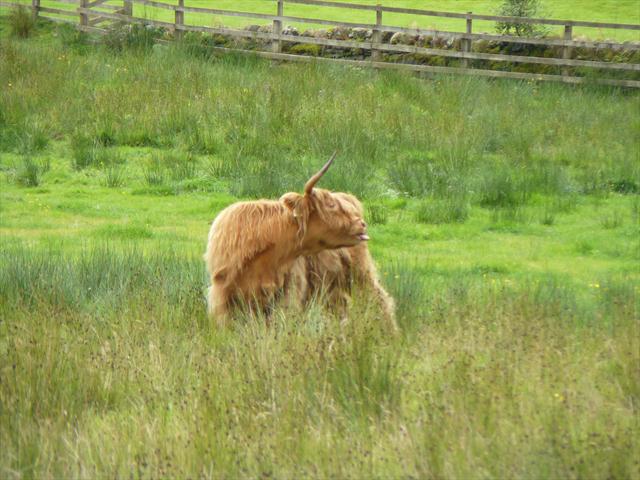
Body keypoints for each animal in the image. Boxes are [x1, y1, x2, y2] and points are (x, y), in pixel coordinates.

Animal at [202, 154, 368, 326]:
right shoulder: (223, 302)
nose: (362, 224)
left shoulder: (288, 298)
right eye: (331, 205)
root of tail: (348, 195)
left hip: (361, 276)